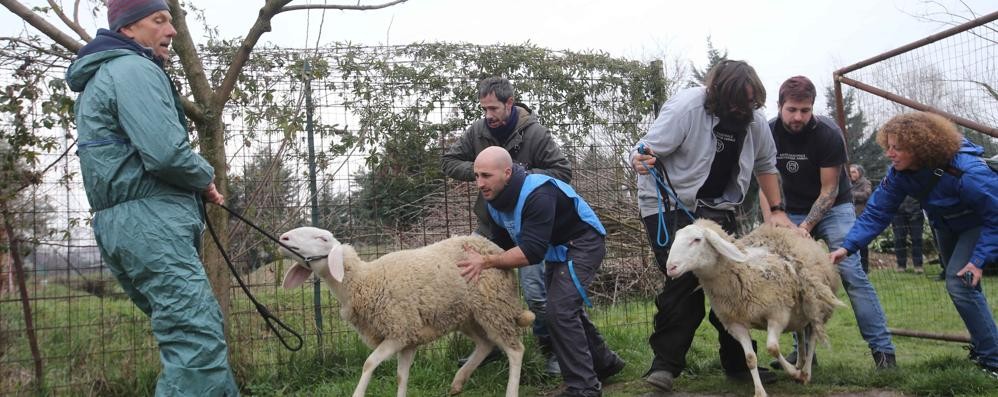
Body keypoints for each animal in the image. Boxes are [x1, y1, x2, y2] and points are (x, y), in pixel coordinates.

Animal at [278, 226, 536, 396]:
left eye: (321, 238)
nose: (283, 237)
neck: (364, 281)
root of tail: (494, 248)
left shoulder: (398, 332)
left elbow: (369, 363)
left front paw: (358, 393)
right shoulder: (409, 338)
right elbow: (401, 376)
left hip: (493, 307)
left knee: (515, 350)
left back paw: (510, 391)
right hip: (467, 315)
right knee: (485, 344)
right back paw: (458, 382)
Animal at [668, 220, 840, 396]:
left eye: (697, 239)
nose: (670, 267)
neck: (744, 272)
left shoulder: (777, 315)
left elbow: (772, 348)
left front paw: (795, 373)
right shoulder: (735, 324)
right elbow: (750, 358)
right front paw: (759, 391)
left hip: (817, 308)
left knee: (812, 339)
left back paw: (805, 372)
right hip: (800, 313)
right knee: (799, 333)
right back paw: (800, 361)